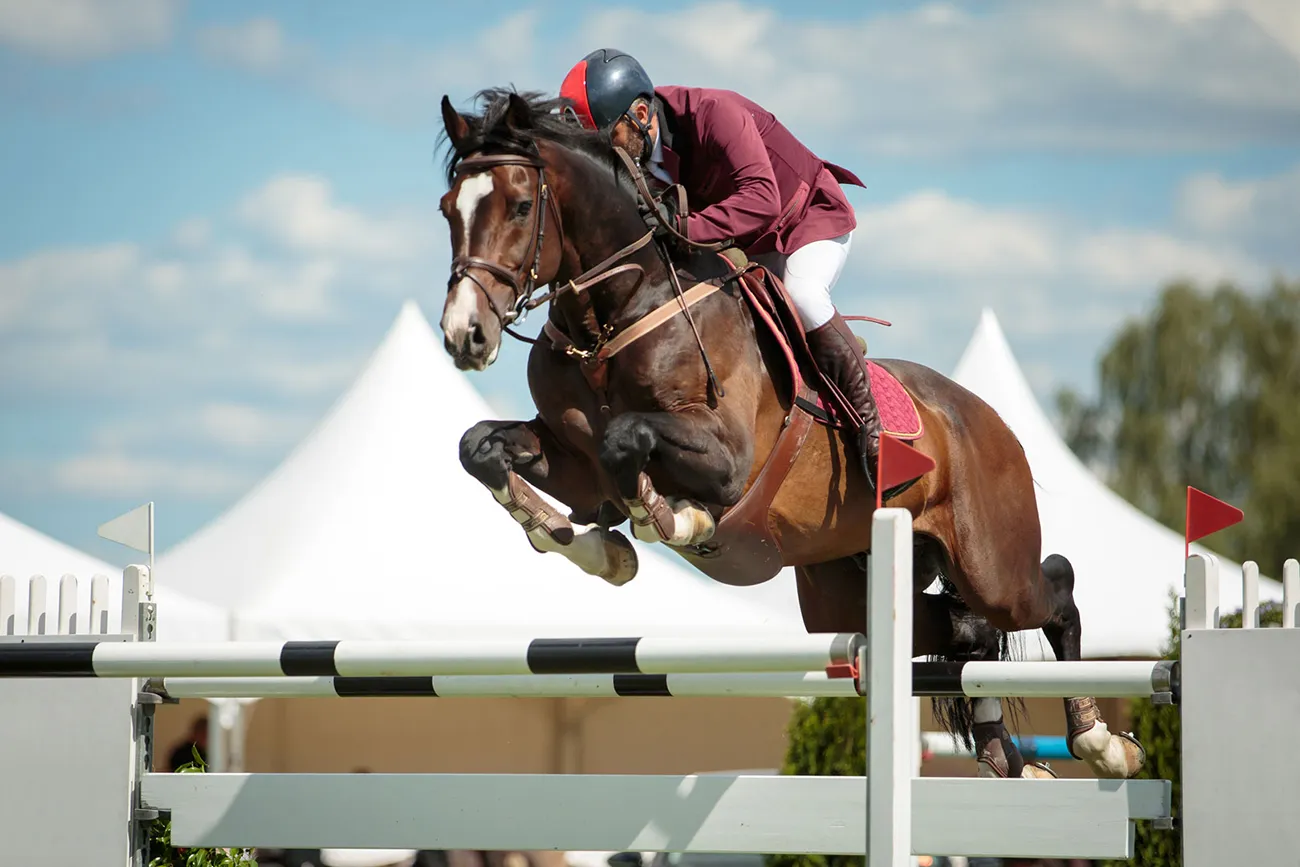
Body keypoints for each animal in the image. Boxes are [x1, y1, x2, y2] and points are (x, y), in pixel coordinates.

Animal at [431, 89, 1144, 785]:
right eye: (446, 210)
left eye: (522, 205)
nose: (465, 335)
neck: (614, 317)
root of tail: (990, 421)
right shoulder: (575, 468)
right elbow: (481, 448)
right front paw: (589, 546)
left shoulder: (725, 458)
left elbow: (628, 440)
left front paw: (666, 519)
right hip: (849, 592)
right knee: (966, 632)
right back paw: (1006, 755)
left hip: (992, 565)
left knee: (1053, 589)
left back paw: (1102, 743)